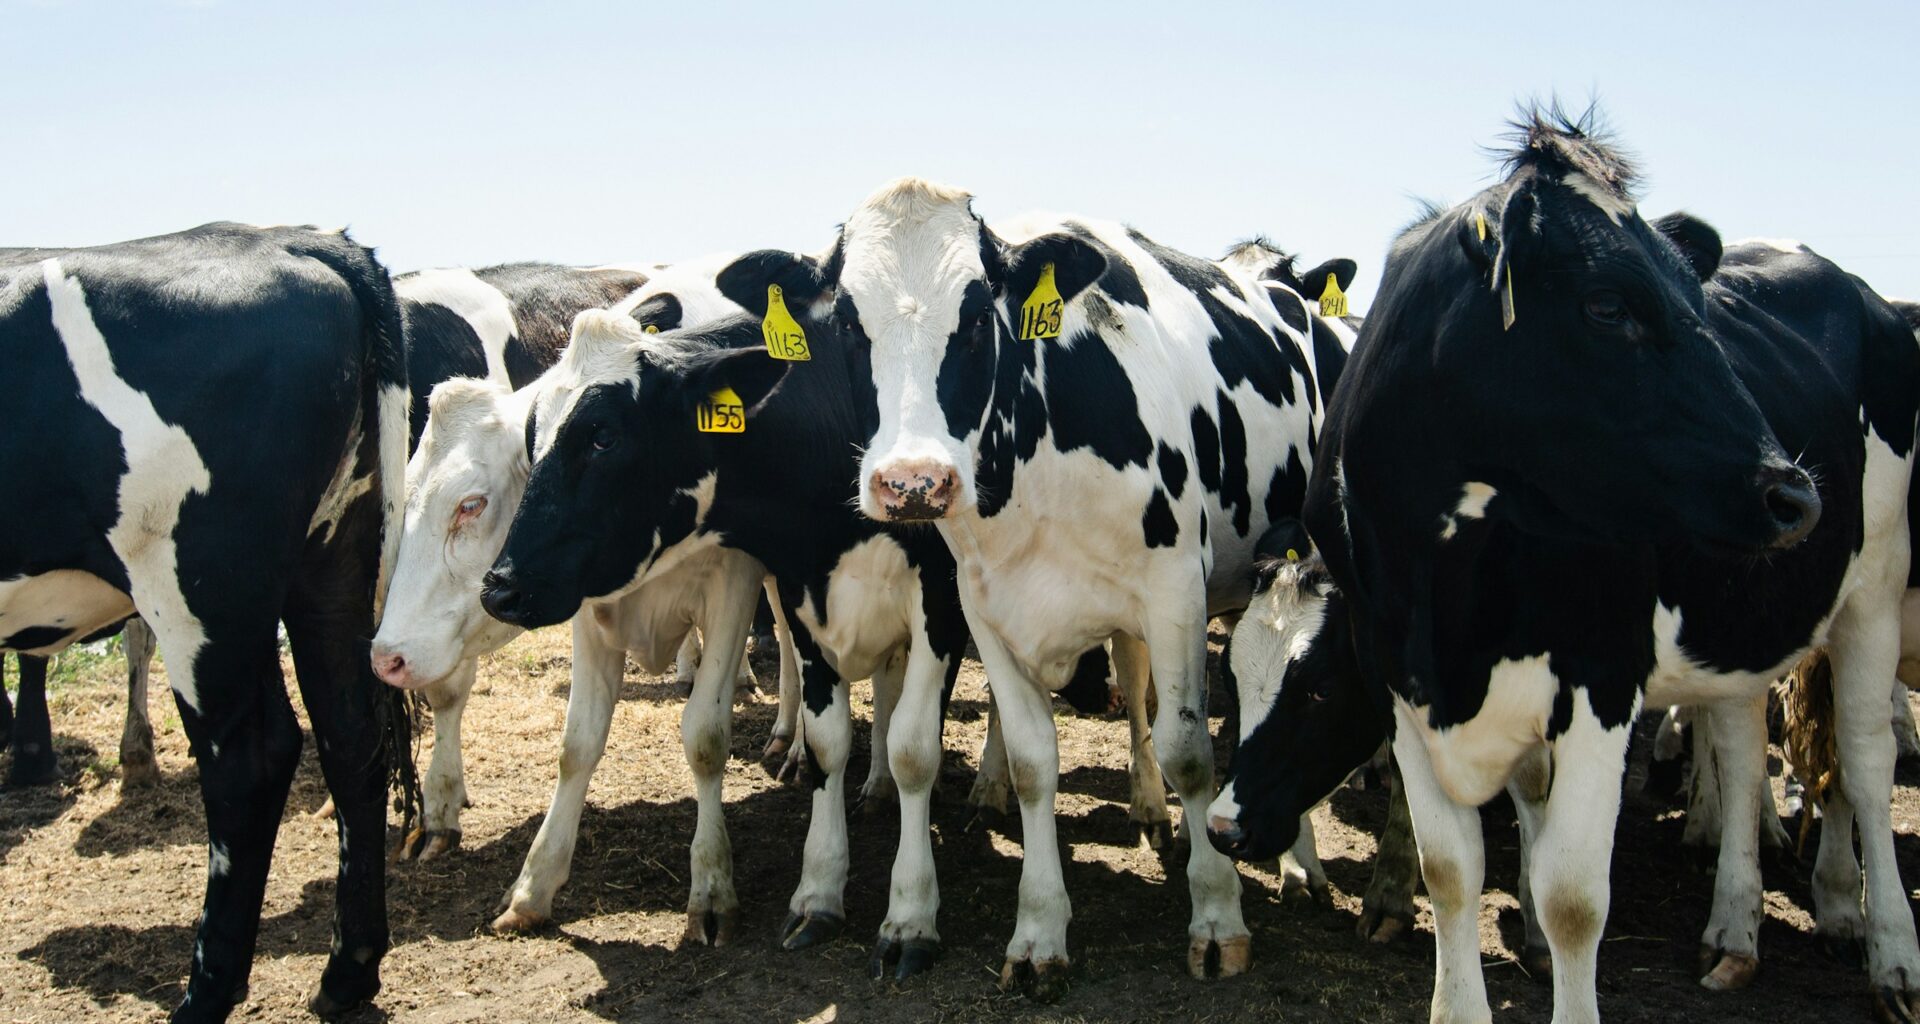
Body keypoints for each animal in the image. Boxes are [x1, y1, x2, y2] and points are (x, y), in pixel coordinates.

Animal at [0, 223, 415, 1022]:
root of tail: (292, 239)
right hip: (331, 558)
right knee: (352, 738)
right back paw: (347, 972)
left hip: (198, 579)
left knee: (249, 763)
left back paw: (206, 993)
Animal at [706, 178, 1346, 997]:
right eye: (847, 321)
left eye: (981, 316)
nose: (912, 483)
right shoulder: (985, 608)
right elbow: (1036, 762)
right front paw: (1039, 932)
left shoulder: (1174, 592)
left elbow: (1190, 751)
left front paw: (1217, 918)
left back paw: (1295, 862)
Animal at [1204, 109, 1920, 1024]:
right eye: (1611, 304)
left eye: (1317, 688)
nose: (1793, 491)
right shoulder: (1401, 679)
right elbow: (1454, 870)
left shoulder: (1599, 678)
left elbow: (1571, 897)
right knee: (1737, 740)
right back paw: (1734, 931)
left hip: (1875, 591)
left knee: (1863, 763)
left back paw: (1887, 949)